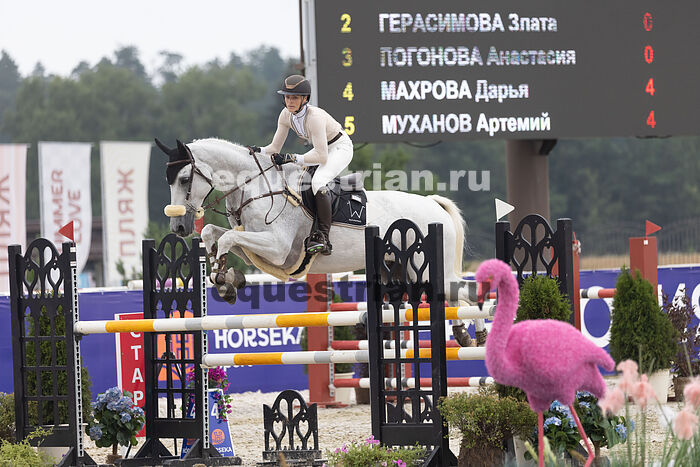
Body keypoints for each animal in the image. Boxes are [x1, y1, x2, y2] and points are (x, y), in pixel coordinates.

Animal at [156, 138, 486, 346]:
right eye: (167, 180)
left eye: (184, 179)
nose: (179, 226)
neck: (256, 186)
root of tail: (433, 204)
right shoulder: (259, 247)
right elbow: (214, 233)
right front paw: (225, 277)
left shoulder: (277, 249)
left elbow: (228, 237)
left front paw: (223, 278)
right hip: (402, 269)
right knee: (454, 295)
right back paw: (463, 333)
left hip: (426, 270)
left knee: (466, 291)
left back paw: (478, 335)